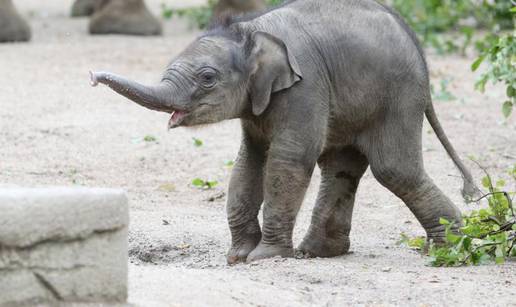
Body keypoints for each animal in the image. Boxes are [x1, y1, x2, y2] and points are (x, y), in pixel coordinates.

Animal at [91, 0, 476, 264]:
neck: (250, 31)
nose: (93, 76)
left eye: (208, 78)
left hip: (398, 97)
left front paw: (264, 257)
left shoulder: (304, 86)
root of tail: (417, 46)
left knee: (394, 169)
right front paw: (237, 257)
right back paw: (318, 253)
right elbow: (249, 162)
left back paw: (451, 247)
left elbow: (287, 160)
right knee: (341, 168)